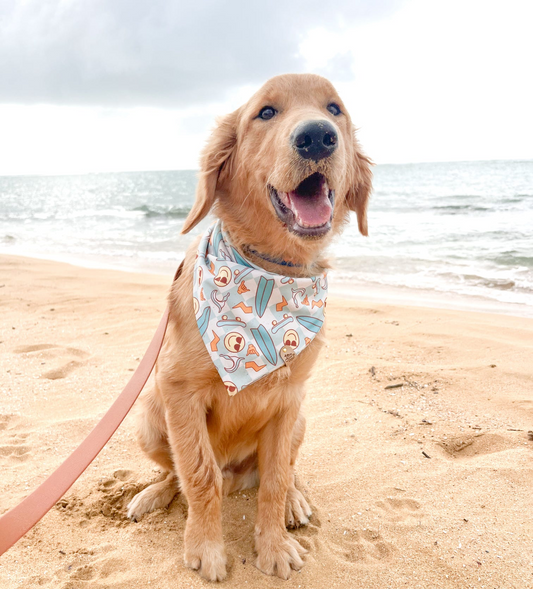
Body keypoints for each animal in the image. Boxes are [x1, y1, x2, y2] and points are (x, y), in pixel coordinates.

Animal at [127, 72, 372, 580]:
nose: (317, 136)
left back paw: (295, 502)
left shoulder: (288, 399)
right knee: (176, 472)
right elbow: (198, 475)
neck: (270, 273)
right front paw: (206, 548)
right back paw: (154, 493)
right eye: (266, 113)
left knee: (287, 473)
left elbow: (275, 480)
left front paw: (273, 546)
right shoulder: (178, 392)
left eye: (335, 108)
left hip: (301, 420)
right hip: (149, 419)